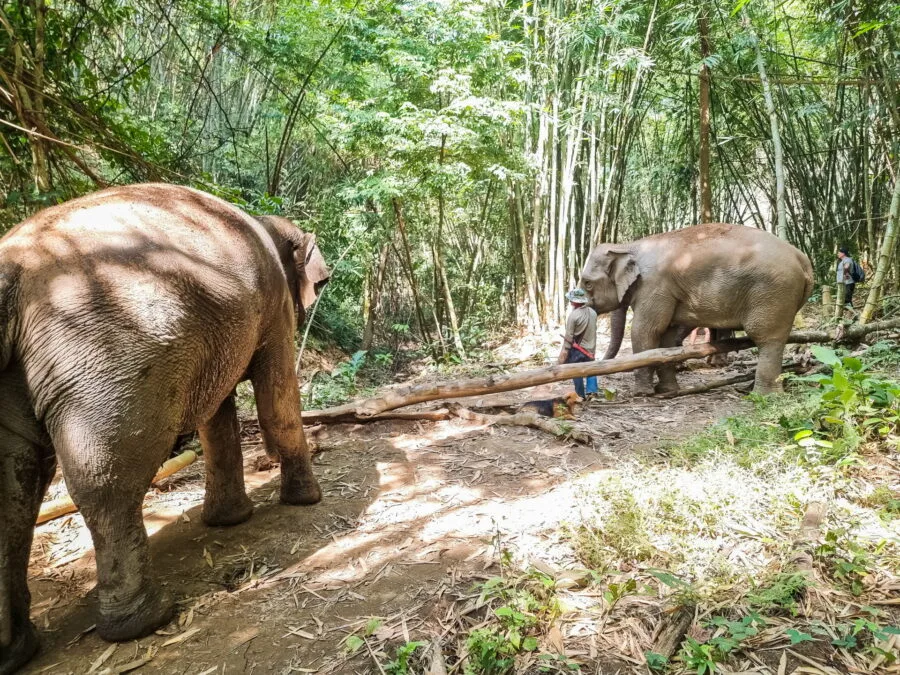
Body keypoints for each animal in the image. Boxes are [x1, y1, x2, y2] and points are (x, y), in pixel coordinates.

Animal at [0, 184, 330, 674]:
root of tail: (9, 273)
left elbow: (218, 418)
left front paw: (229, 521)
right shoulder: (273, 306)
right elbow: (276, 397)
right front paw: (307, 501)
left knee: (14, 494)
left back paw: (17, 651)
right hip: (105, 359)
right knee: (104, 480)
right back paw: (146, 619)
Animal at [580, 223, 813, 395]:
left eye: (587, 283)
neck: (630, 245)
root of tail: (803, 259)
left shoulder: (654, 285)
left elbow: (645, 331)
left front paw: (641, 393)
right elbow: (666, 336)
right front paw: (666, 390)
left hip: (773, 292)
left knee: (767, 338)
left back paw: (764, 395)